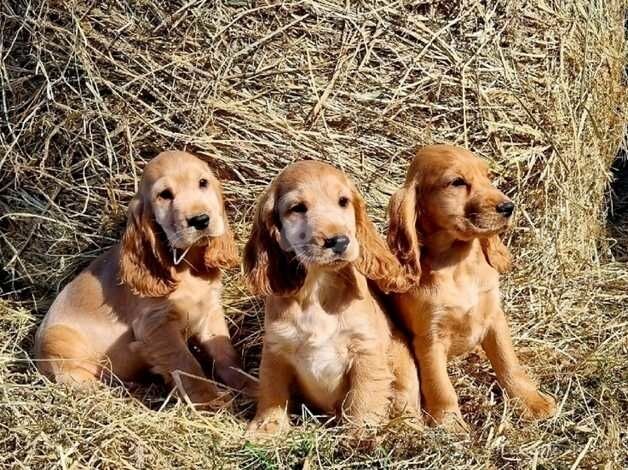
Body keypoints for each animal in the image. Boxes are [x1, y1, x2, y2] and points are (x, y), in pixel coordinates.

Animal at [33, 152, 245, 410]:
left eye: (203, 183)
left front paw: (251, 385)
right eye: (165, 194)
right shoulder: (156, 326)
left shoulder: (210, 311)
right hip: (58, 341)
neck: (187, 266)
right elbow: (187, 365)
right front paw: (210, 399)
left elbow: (226, 355)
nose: (201, 220)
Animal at [243, 160, 420, 436]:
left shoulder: (365, 349)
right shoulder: (276, 349)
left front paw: (361, 433)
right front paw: (266, 427)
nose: (339, 241)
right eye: (297, 208)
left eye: (343, 201)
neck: (318, 289)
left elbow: (364, 396)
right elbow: (272, 390)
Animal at [388, 145, 556, 432]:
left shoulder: (495, 318)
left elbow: (509, 363)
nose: (509, 207)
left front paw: (532, 402)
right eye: (457, 182)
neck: (458, 263)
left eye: (488, 176)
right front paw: (450, 425)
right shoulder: (430, 339)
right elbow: (440, 386)